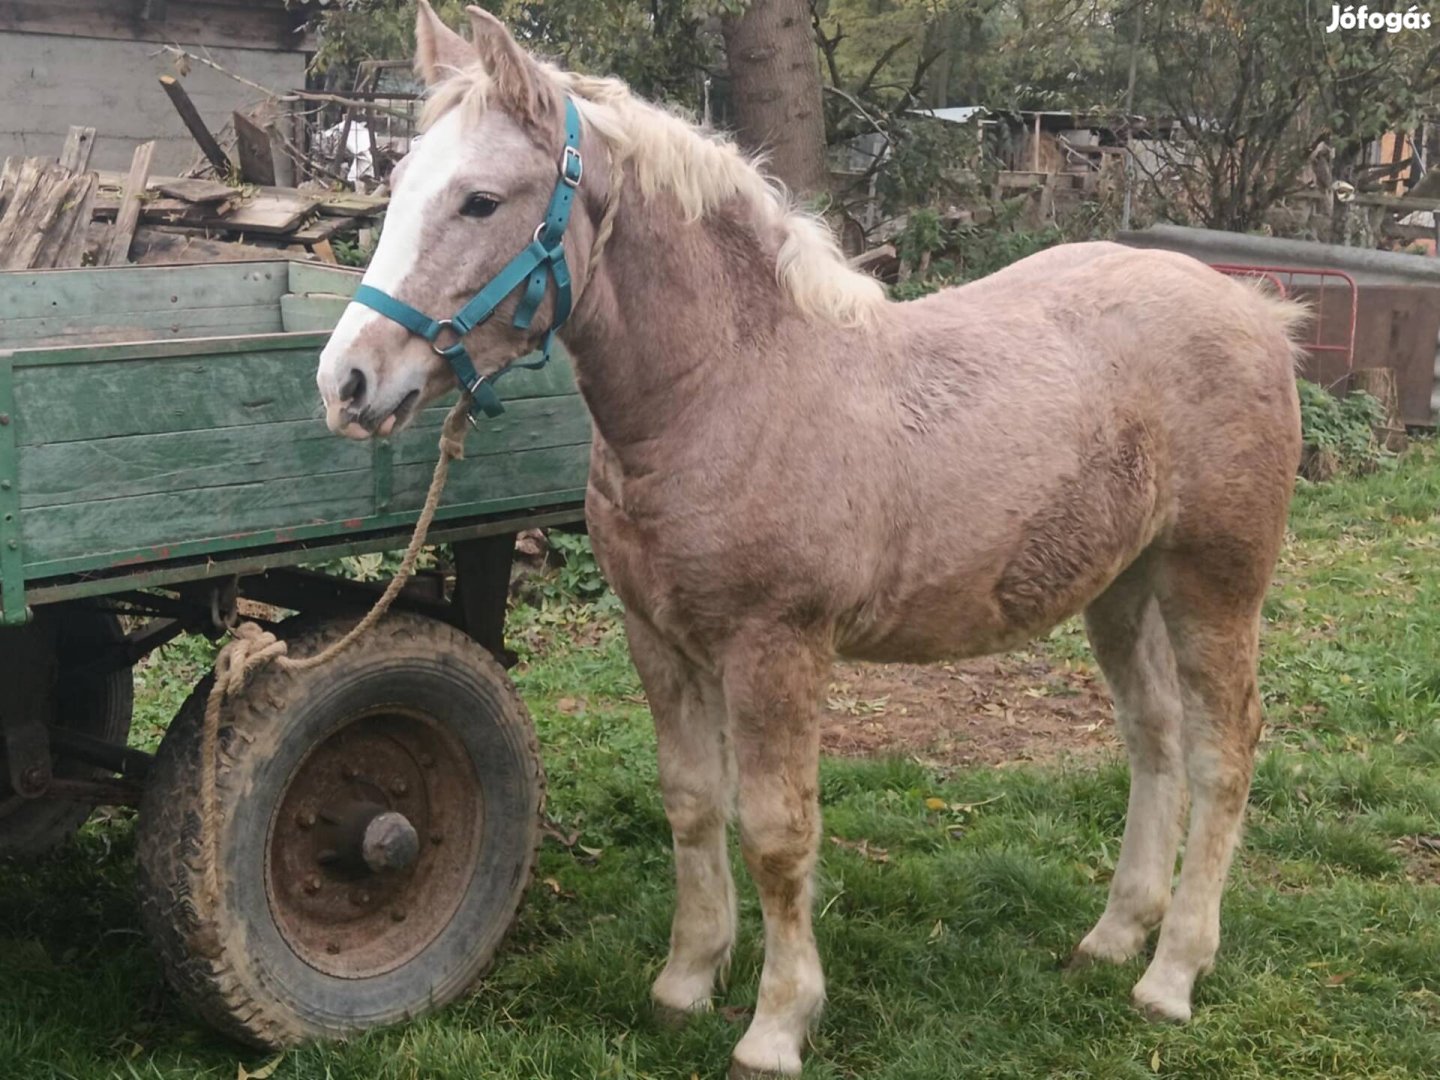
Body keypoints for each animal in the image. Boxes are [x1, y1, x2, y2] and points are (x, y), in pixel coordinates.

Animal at [315, 6, 1307, 1077]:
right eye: (398, 187)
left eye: (480, 201)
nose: (347, 383)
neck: (727, 391)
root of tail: (1258, 308)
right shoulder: (658, 640)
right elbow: (692, 802)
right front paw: (686, 981)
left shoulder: (775, 649)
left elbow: (778, 833)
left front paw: (777, 1023)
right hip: (1123, 586)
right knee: (1154, 737)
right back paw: (1116, 934)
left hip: (1215, 583)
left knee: (1223, 749)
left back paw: (1172, 974)